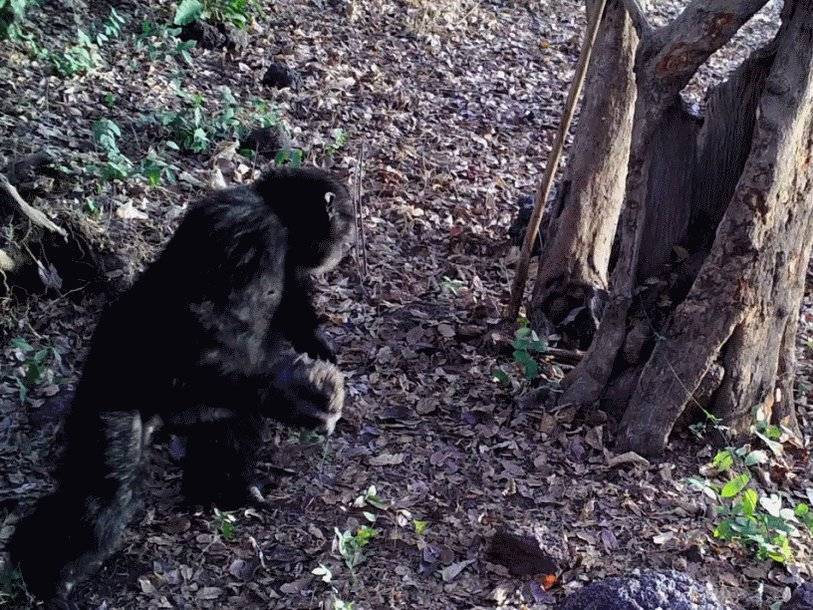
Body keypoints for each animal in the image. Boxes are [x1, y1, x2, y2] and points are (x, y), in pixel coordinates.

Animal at [6, 164, 356, 600]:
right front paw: (307, 396)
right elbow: (208, 322)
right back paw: (44, 574)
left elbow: (286, 311)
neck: (281, 219)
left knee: (235, 425)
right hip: (113, 405)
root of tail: (163, 418)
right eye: (344, 217)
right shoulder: (245, 231)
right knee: (102, 494)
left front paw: (316, 353)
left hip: (210, 404)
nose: (349, 240)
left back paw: (225, 489)